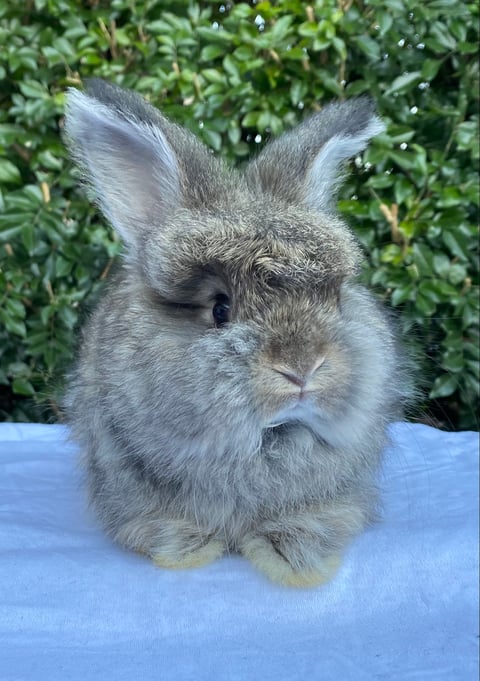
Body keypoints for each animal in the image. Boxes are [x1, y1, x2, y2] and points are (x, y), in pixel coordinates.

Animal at [62, 79, 408, 588]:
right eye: (219, 309)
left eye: (335, 300)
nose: (302, 369)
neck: (267, 441)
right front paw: (183, 549)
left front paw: (297, 560)